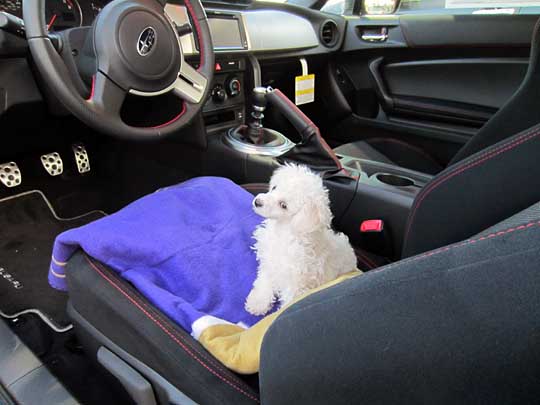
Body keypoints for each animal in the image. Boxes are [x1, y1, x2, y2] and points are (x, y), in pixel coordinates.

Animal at [246, 163, 356, 314]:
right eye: (274, 188)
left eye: (283, 205)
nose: (257, 202)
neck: (283, 231)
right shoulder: (270, 263)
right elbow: (264, 281)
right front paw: (258, 302)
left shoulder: (296, 284)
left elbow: (288, 302)